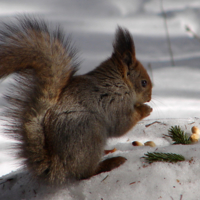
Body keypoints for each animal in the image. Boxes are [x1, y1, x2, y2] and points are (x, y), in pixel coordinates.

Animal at [0, 16, 152, 185]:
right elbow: (122, 124)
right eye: (143, 82)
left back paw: (108, 151)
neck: (119, 82)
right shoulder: (115, 102)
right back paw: (110, 163)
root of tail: (58, 165)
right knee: (85, 173)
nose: (150, 97)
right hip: (89, 133)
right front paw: (145, 109)